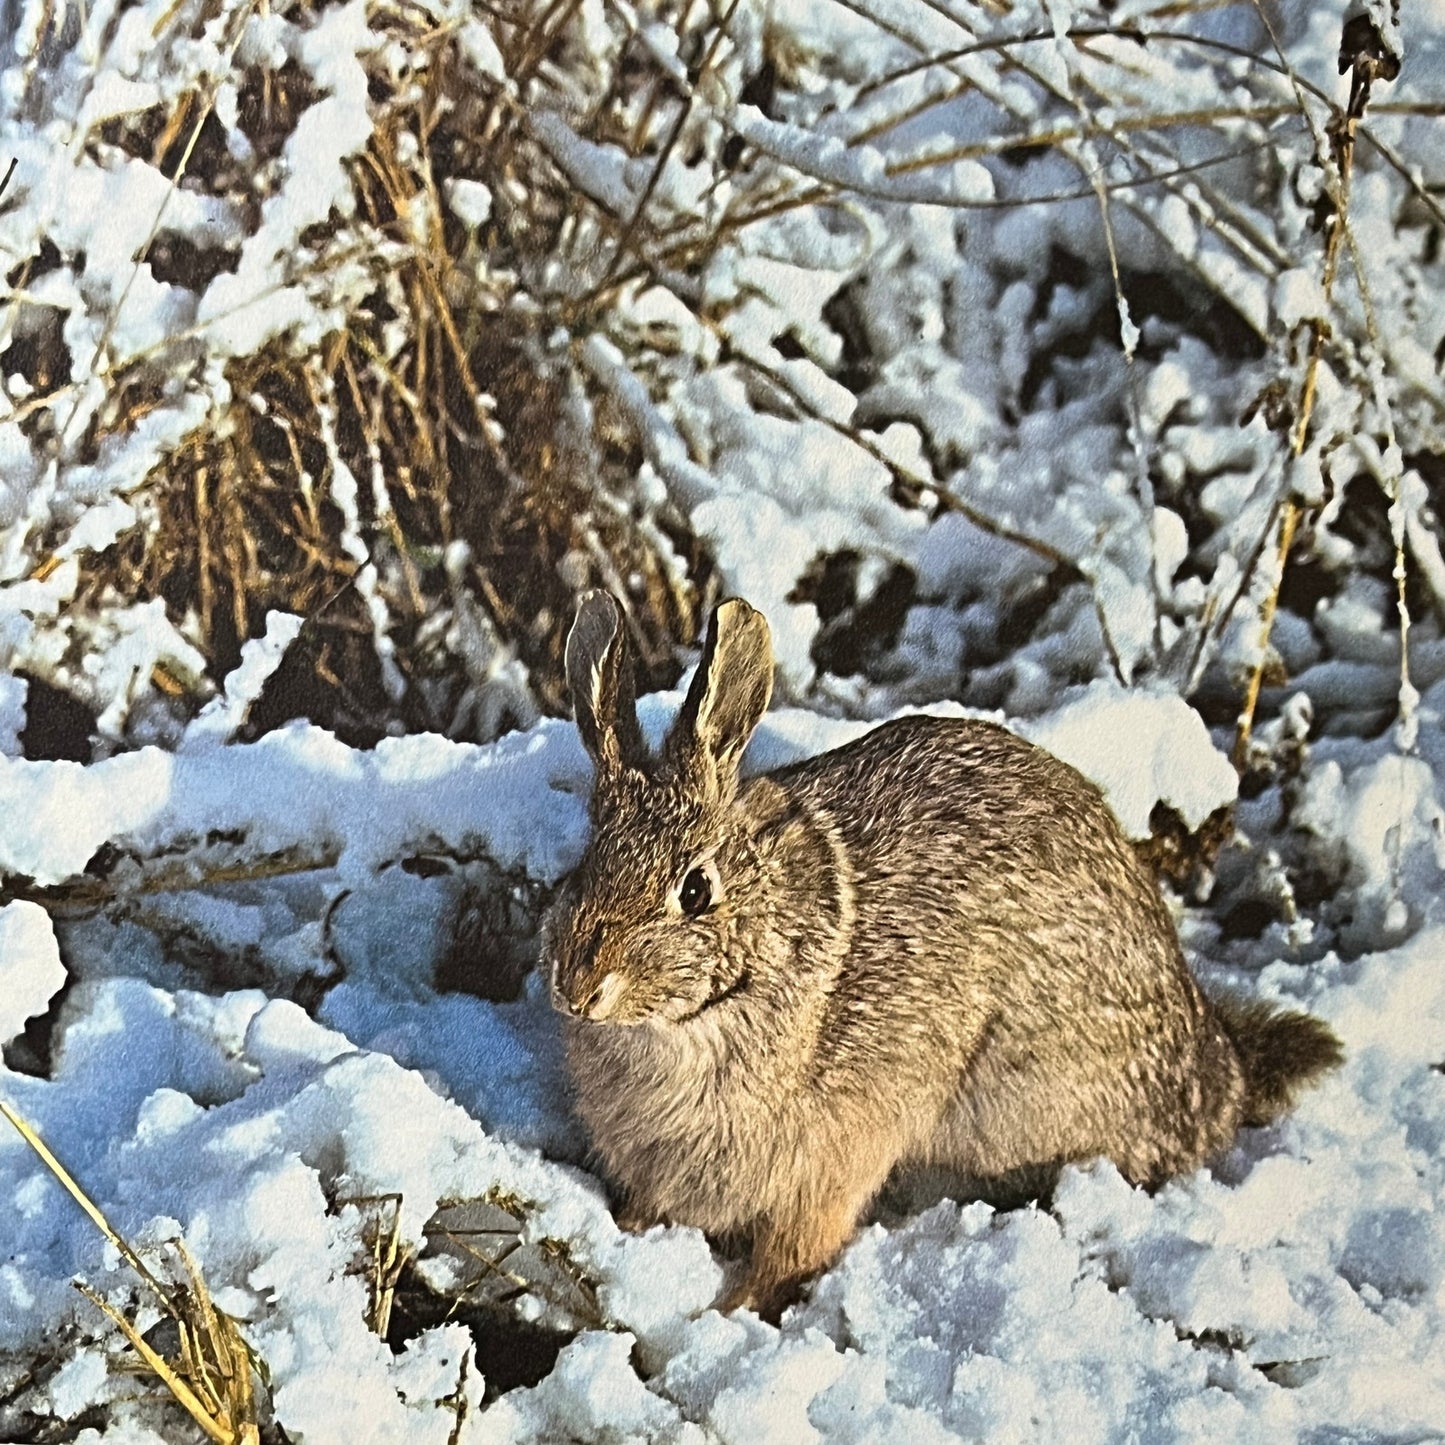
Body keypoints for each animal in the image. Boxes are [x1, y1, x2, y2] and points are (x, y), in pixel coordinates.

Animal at [543, 589, 1340, 1323]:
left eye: (695, 889)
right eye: (585, 865)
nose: (578, 988)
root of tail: (1214, 1066)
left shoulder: (838, 1157)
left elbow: (797, 1245)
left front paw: (730, 1308)